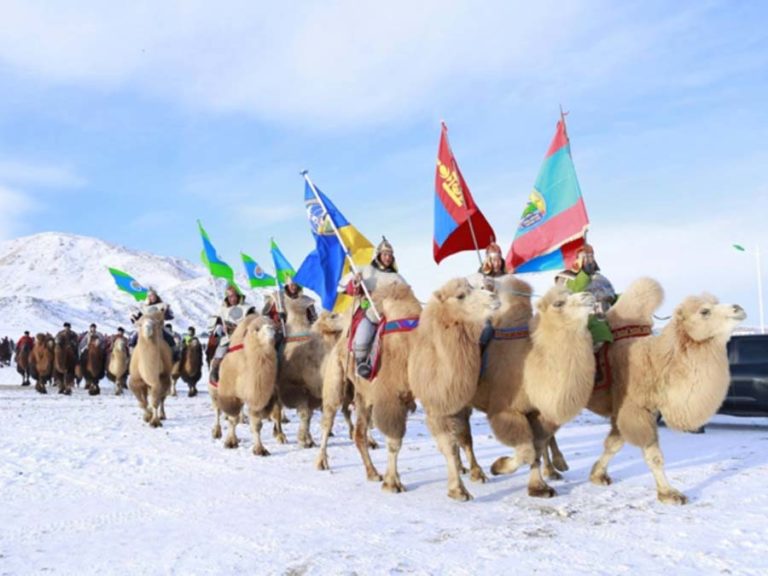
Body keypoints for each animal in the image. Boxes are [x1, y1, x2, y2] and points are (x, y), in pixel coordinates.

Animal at [213, 315, 279, 454]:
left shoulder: (258, 399)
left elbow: (257, 424)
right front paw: (230, 442)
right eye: (257, 329)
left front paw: (260, 449)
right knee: (217, 410)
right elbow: (232, 419)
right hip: (214, 390)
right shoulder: (230, 395)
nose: (270, 329)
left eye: (273, 326)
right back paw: (216, 432)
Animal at [586, 277, 746, 504]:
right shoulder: (635, 409)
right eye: (704, 311)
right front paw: (669, 494)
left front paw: (598, 475)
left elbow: (614, 443)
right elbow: (653, 455)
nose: (738, 308)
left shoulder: (636, 410)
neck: (655, 361)